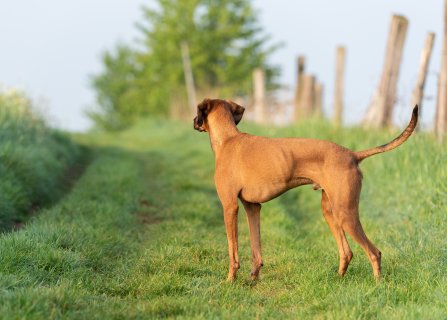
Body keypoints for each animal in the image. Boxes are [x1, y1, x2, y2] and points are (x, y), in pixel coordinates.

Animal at [193, 99, 420, 282]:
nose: (194, 121)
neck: (228, 139)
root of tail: (352, 154)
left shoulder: (230, 207)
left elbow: (233, 251)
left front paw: (230, 280)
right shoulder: (253, 208)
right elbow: (256, 249)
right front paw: (253, 279)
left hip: (346, 214)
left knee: (374, 252)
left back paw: (377, 284)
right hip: (330, 212)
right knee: (347, 252)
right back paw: (338, 279)